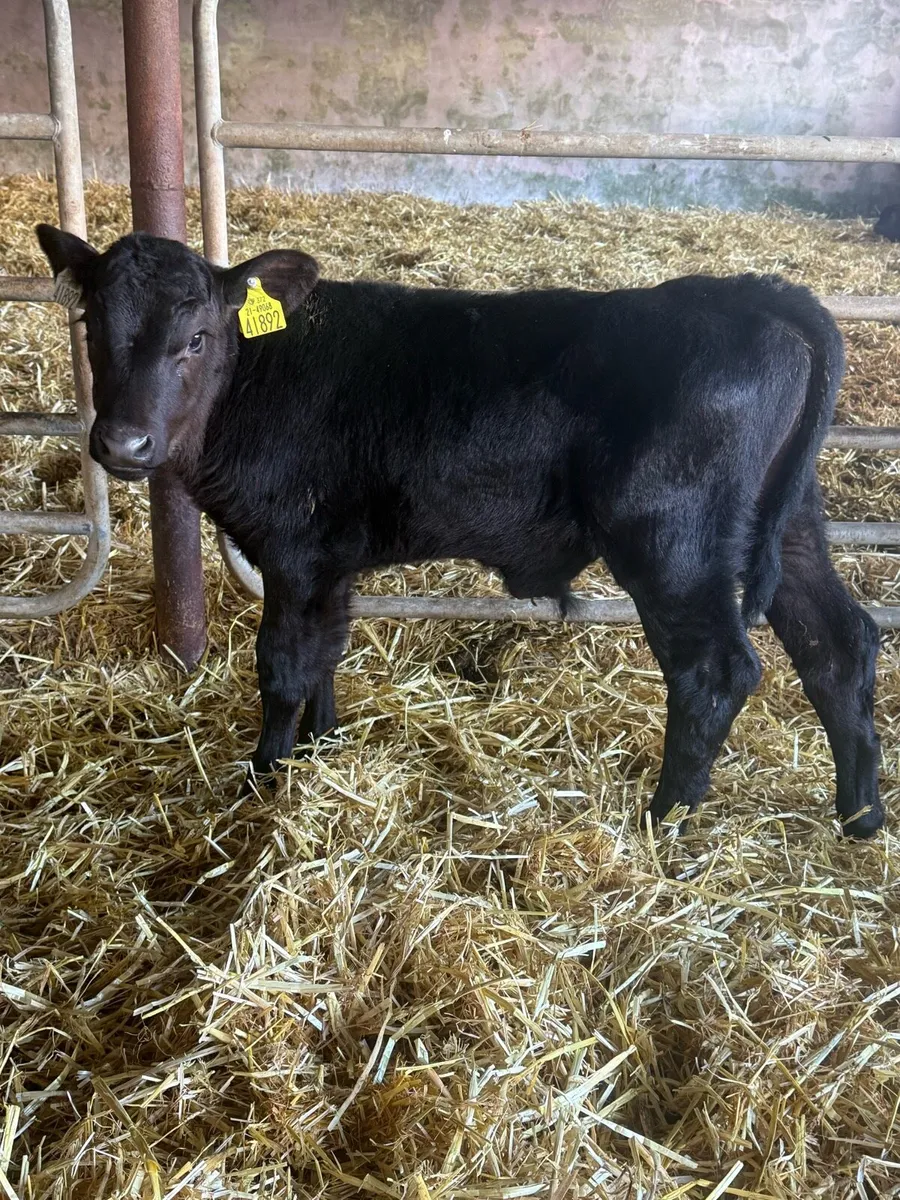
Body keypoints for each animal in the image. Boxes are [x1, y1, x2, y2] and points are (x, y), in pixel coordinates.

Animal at [35, 223, 884, 838]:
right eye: (91, 324)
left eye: (197, 338)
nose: (124, 444)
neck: (258, 375)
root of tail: (754, 293)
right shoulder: (329, 563)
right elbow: (326, 654)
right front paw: (320, 750)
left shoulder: (295, 551)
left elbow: (282, 666)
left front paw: (265, 779)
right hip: (790, 522)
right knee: (837, 643)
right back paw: (861, 818)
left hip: (675, 539)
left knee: (716, 670)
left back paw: (663, 823)